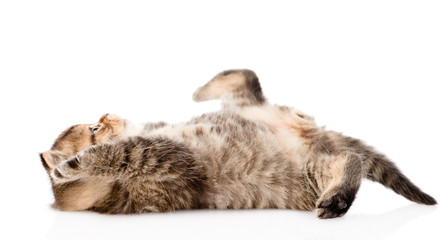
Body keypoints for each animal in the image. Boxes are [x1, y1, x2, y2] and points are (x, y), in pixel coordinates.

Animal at [39, 69, 434, 218]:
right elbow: (109, 153)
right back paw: (338, 199)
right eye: (93, 127)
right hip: (313, 172)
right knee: (352, 161)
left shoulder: (158, 145)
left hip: (257, 110)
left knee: (247, 78)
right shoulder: (164, 158)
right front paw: (69, 167)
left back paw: (201, 90)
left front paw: (67, 167)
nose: (106, 112)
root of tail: (316, 134)